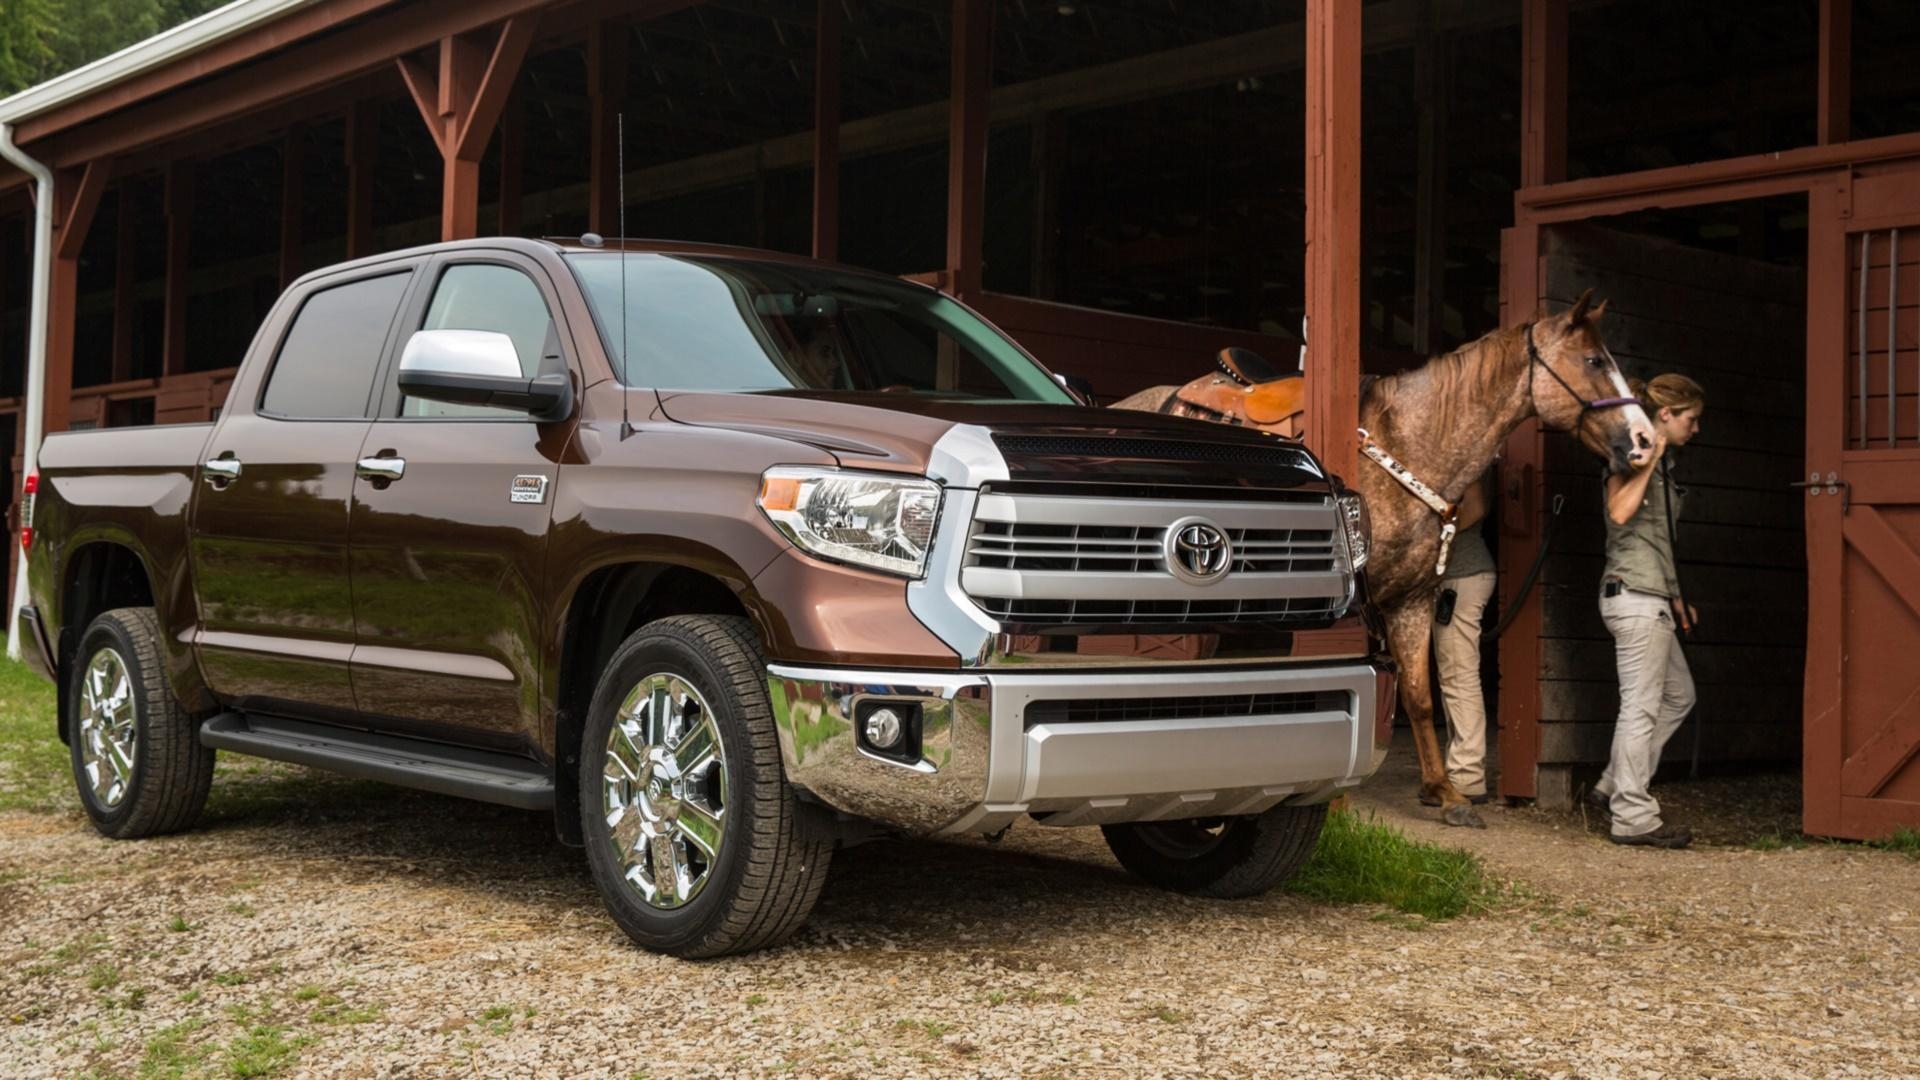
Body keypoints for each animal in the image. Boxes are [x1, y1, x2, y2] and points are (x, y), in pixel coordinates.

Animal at [1121, 288, 1658, 822]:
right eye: (1593, 360)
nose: (1645, 441)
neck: (1409, 445)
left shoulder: (1414, 600)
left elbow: (1418, 697)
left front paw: (1444, 792)